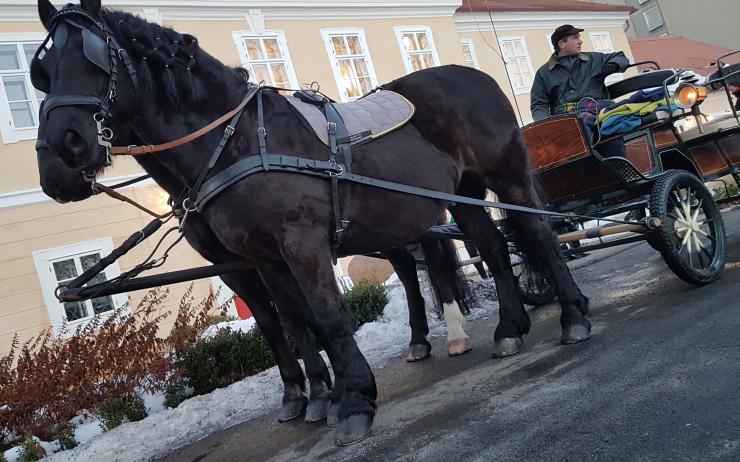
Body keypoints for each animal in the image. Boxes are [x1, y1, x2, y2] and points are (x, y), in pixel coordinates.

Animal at [33, 0, 588, 446]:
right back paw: (507, 328)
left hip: (504, 176)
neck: (235, 141)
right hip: (460, 194)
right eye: (43, 71)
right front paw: (319, 394)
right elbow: (290, 322)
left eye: (92, 58)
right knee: (490, 248)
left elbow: (326, 316)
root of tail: (474, 75)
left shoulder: (299, 243)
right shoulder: (256, 258)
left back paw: (571, 316)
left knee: (537, 236)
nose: (60, 153)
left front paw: (354, 399)